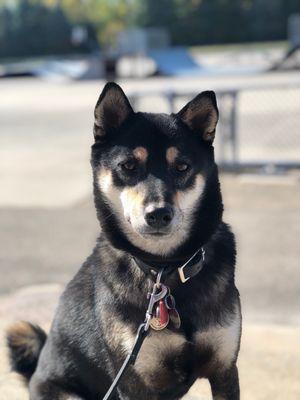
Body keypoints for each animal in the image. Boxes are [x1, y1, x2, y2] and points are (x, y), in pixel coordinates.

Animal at [7, 83, 241, 398]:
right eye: (129, 165)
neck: (164, 268)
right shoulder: (133, 380)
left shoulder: (224, 370)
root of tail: (36, 375)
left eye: (181, 167)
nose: (158, 214)